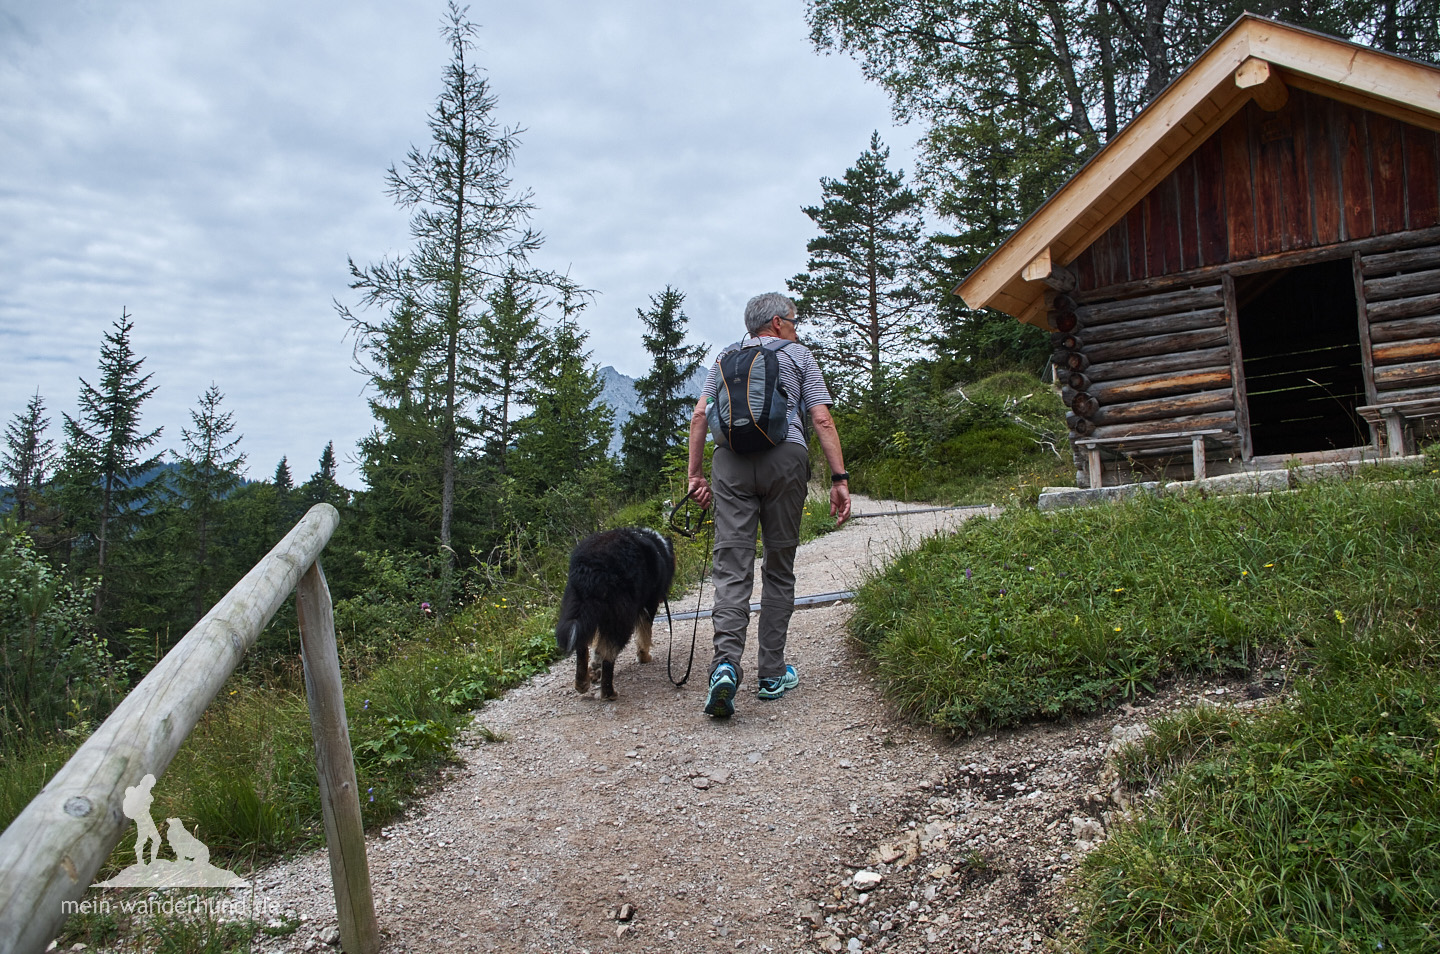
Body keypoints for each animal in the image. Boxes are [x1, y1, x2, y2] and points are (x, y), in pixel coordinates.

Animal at [555, 527, 679, 700]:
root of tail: (592, 564)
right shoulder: (649, 605)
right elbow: (644, 636)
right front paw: (644, 657)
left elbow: (597, 649)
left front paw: (595, 668)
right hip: (621, 616)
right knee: (609, 653)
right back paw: (608, 693)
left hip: (579, 607)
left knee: (582, 646)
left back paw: (582, 683)